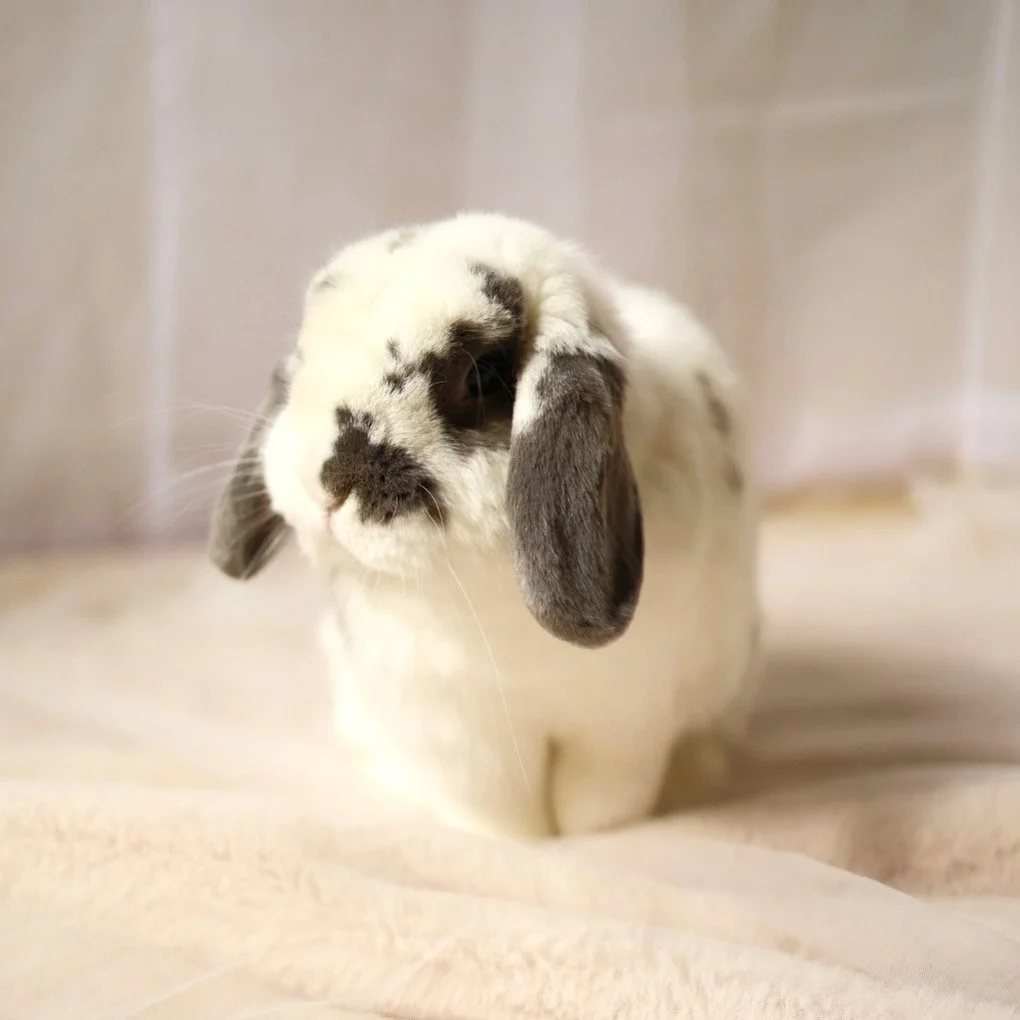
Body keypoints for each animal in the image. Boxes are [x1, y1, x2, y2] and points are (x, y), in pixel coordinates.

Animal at [209, 212, 760, 839]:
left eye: (482, 376)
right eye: (303, 359)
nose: (321, 481)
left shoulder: (625, 726)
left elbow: (603, 804)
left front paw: (586, 836)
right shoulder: (460, 732)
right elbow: (496, 810)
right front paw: (518, 838)